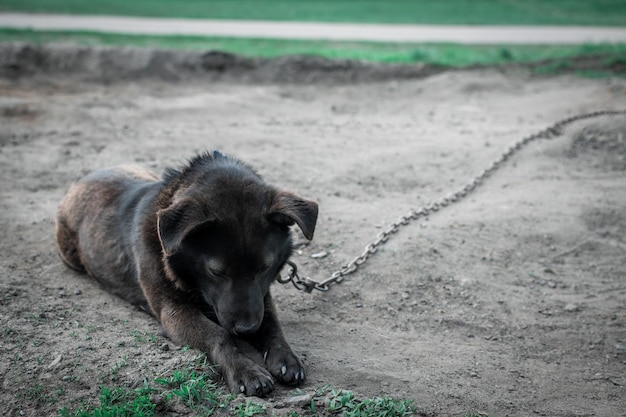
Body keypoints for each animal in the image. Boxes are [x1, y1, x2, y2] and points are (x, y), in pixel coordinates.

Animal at [54, 151, 316, 394]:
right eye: (216, 271)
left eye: (264, 268)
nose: (246, 330)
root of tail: (82, 181)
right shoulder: (173, 311)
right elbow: (218, 334)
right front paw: (245, 370)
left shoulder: (261, 298)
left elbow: (272, 325)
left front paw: (285, 357)